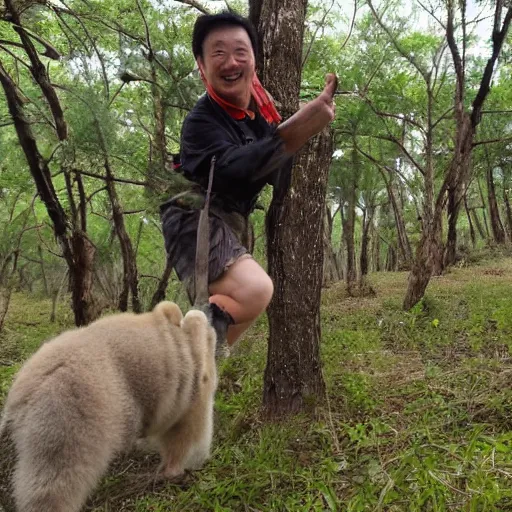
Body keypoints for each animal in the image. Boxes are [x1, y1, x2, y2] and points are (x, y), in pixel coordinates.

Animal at [0, 302, 218, 510]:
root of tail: (24, 393)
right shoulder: (190, 388)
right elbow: (187, 434)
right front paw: (181, 467)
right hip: (69, 416)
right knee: (56, 481)